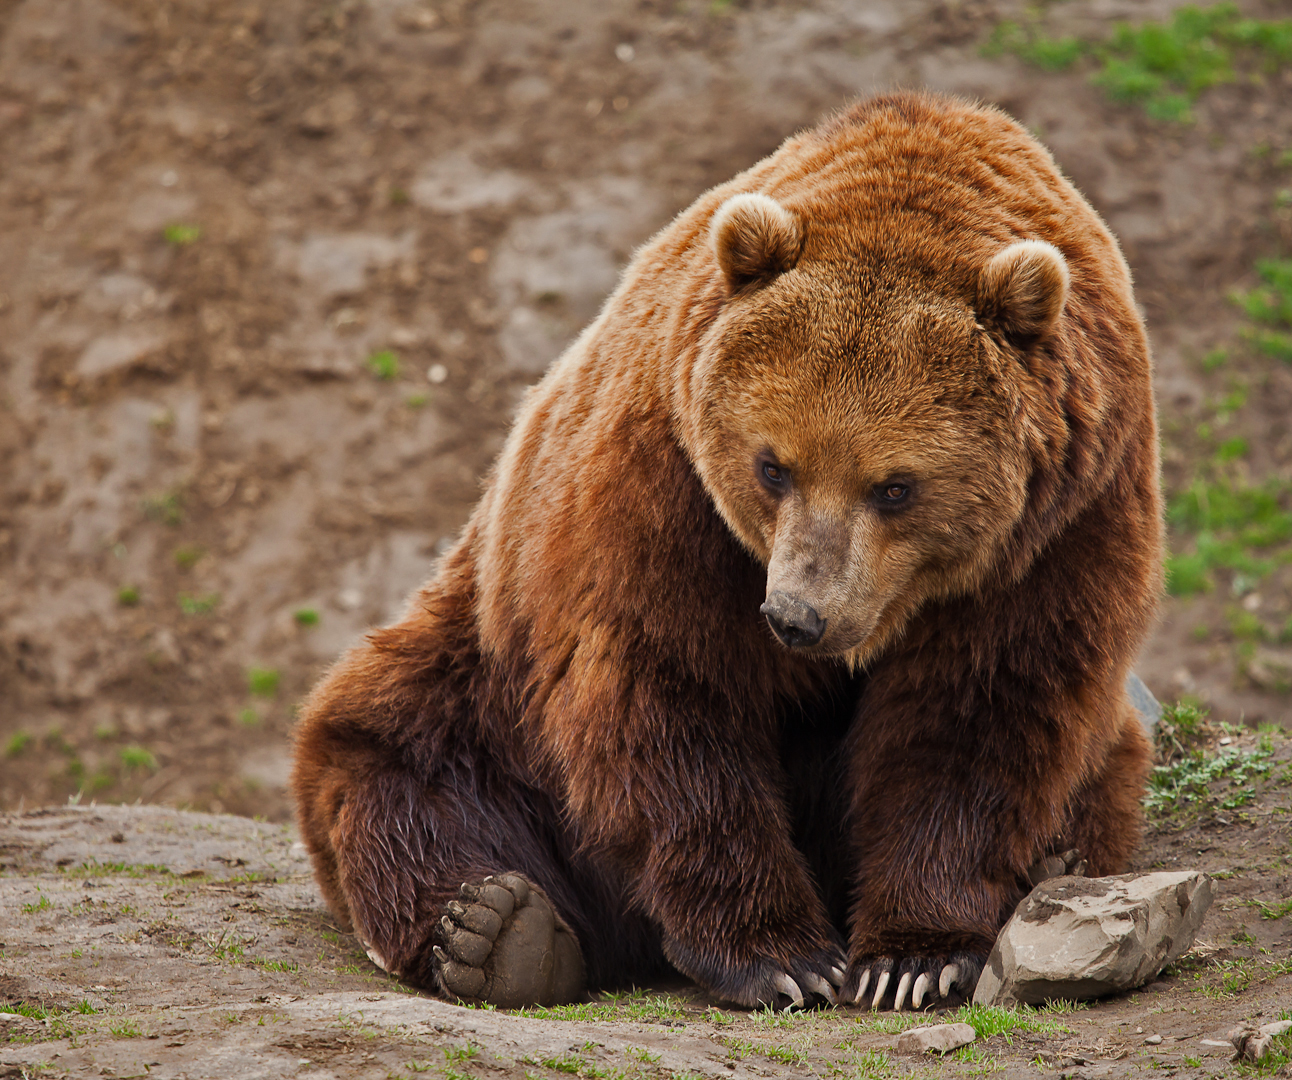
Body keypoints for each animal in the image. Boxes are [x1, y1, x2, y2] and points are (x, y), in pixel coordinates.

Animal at [293, 93, 1162, 1012]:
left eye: (895, 486)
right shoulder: (666, 482)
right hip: (487, 678)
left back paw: (1055, 861)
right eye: (773, 465)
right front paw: (781, 955)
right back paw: (496, 929)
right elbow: (671, 692)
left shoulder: (1062, 523)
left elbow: (979, 711)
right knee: (401, 760)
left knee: (1102, 769)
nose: (798, 617)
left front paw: (912, 958)